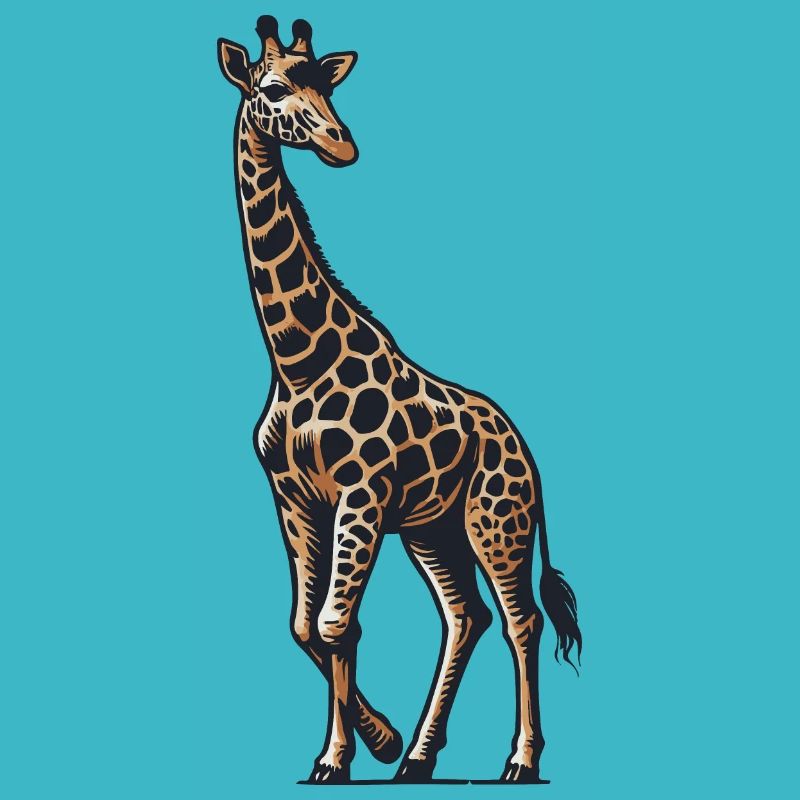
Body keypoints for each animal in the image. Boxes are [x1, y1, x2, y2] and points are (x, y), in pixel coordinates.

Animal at [217, 15, 582, 785]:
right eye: (273, 89)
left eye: (327, 86)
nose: (341, 144)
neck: (296, 360)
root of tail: (524, 448)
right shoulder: (295, 499)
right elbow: (308, 625)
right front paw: (348, 753)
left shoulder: (362, 493)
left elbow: (334, 622)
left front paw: (359, 748)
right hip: (432, 529)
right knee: (467, 616)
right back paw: (418, 757)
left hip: (495, 522)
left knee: (521, 619)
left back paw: (519, 759)